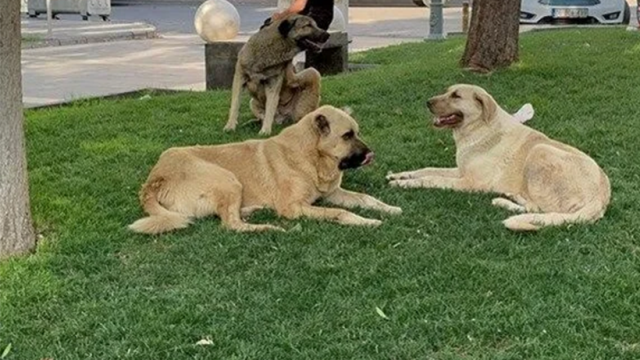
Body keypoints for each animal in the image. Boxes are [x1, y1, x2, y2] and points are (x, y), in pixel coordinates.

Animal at [129, 105, 400, 233]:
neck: (310, 157)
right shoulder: (294, 208)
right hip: (227, 178)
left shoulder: (332, 194)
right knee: (231, 225)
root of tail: (155, 179)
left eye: (357, 132)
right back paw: (269, 227)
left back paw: (251, 211)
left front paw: (389, 208)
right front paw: (366, 221)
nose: (371, 154)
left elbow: (366, 198)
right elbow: (340, 213)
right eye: (347, 135)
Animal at [384, 84, 608, 231]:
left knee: (540, 208)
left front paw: (404, 184)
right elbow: (427, 169)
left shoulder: (469, 182)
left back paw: (505, 201)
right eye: (447, 91)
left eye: (456, 96)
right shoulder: (460, 170)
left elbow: (432, 179)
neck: (479, 129)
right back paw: (510, 197)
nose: (427, 102)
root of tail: (600, 198)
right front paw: (399, 175)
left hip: (540, 150)